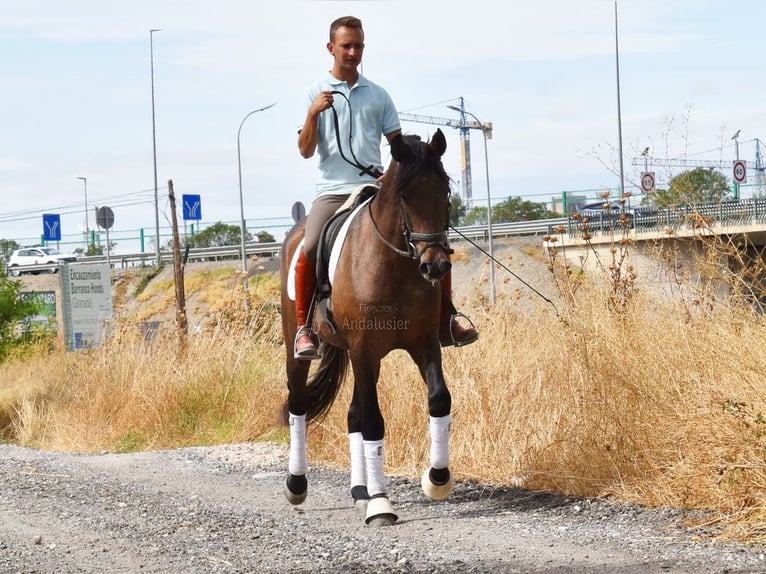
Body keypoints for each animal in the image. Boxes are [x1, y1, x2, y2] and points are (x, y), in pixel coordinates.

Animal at [284, 129, 460, 528]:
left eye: (444, 189)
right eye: (405, 194)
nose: (435, 266)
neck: (394, 262)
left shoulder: (424, 344)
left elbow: (439, 399)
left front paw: (437, 479)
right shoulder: (364, 350)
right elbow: (374, 423)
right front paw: (382, 504)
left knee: (352, 414)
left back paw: (360, 492)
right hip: (303, 350)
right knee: (298, 404)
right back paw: (297, 484)